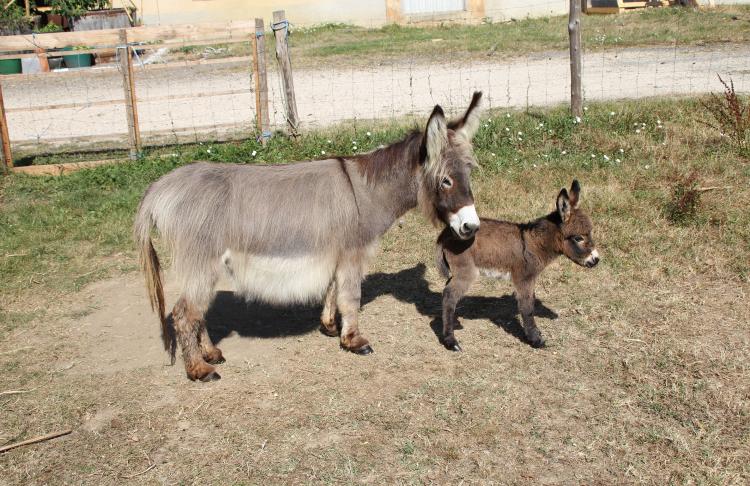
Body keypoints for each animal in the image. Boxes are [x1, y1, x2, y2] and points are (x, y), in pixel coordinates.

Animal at [434, 180, 600, 352]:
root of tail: (445, 233)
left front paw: (536, 334)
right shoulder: (523, 278)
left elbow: (530, 300)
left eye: (590, 233)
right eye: (578, 238)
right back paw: (451, 341)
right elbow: (527, 307)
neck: (535, 243)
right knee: (449, 296)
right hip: (466, 271)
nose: (596, 260)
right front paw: (535, 340)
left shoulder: (530, 278)